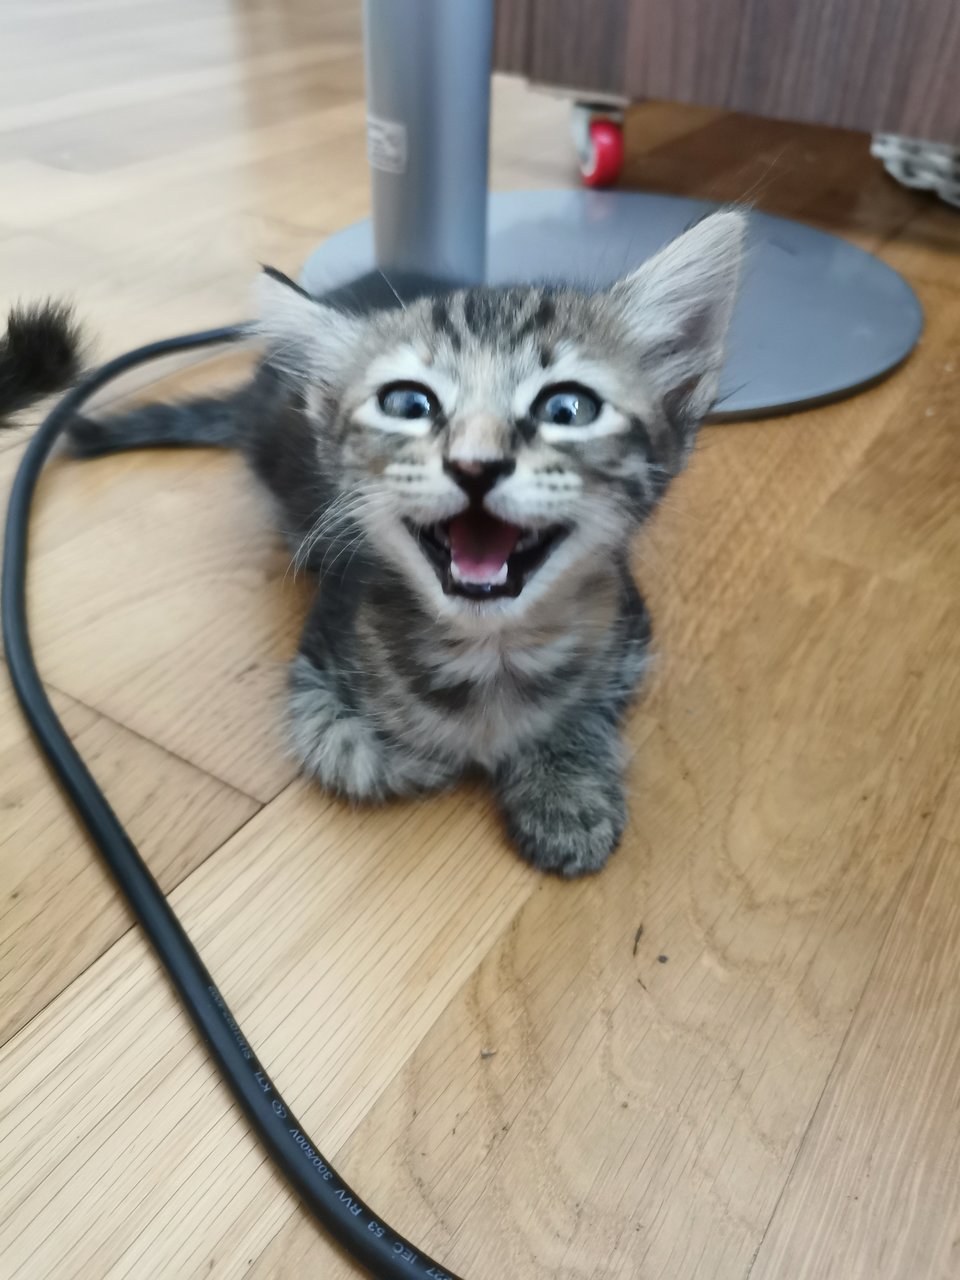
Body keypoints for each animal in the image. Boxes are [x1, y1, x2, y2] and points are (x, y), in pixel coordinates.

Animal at [67, 209, 747, 875]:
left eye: (568, 410)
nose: (475, 465)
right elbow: (355, 754)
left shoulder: (629, 630)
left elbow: (588, 705)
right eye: (407, 404)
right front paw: (448, 754)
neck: (492, 652)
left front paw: (565, 788)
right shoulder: (317, 665)